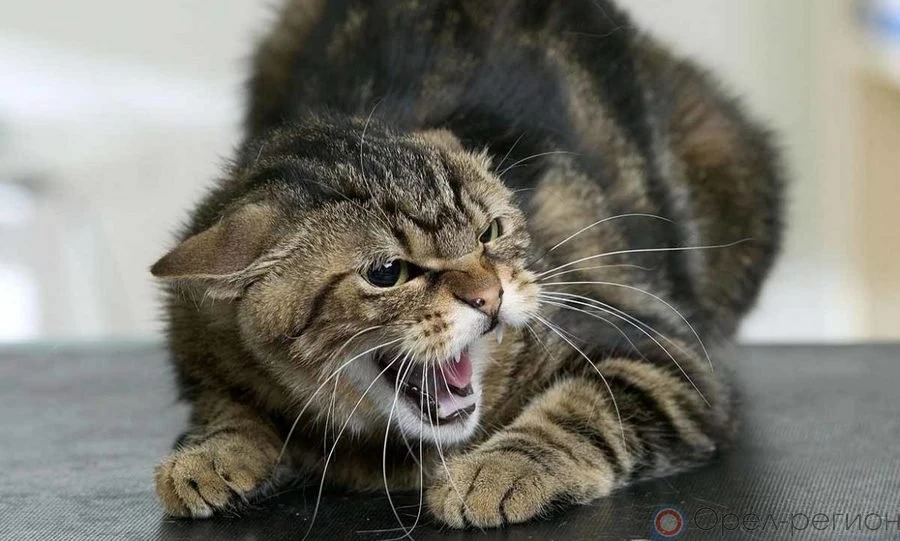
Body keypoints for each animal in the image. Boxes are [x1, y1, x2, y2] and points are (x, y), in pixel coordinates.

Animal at [151, 0, 783, 529]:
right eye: (387, 272)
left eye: (490, 233)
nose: (490, 295)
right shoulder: (195, 343)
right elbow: (224, 405)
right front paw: (210, 453)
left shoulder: (657, 349)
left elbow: (586, 406)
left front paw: (498, 470)